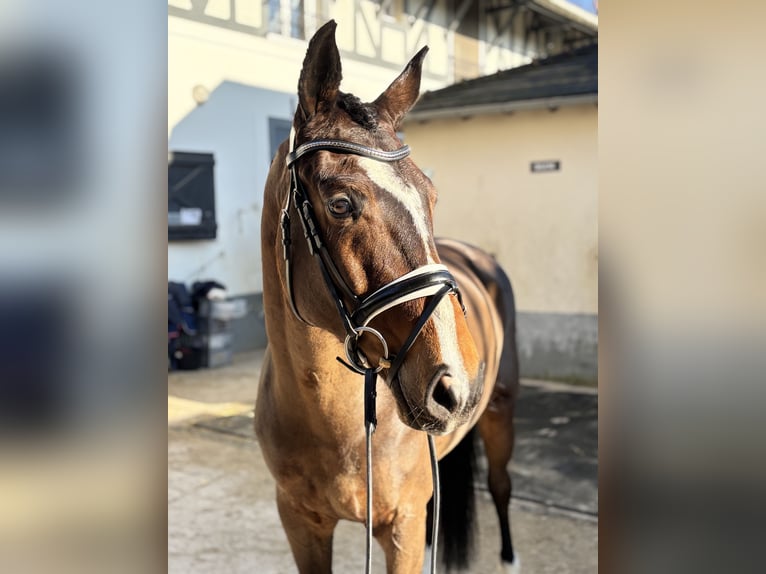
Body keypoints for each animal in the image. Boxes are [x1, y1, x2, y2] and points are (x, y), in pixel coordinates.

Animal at [256, 20, 520, 572]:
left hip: (501, 414)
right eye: (340, 203)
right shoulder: (300, 524)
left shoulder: (402, 526)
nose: (458, 385)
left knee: (501, 485)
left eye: (431, 196)